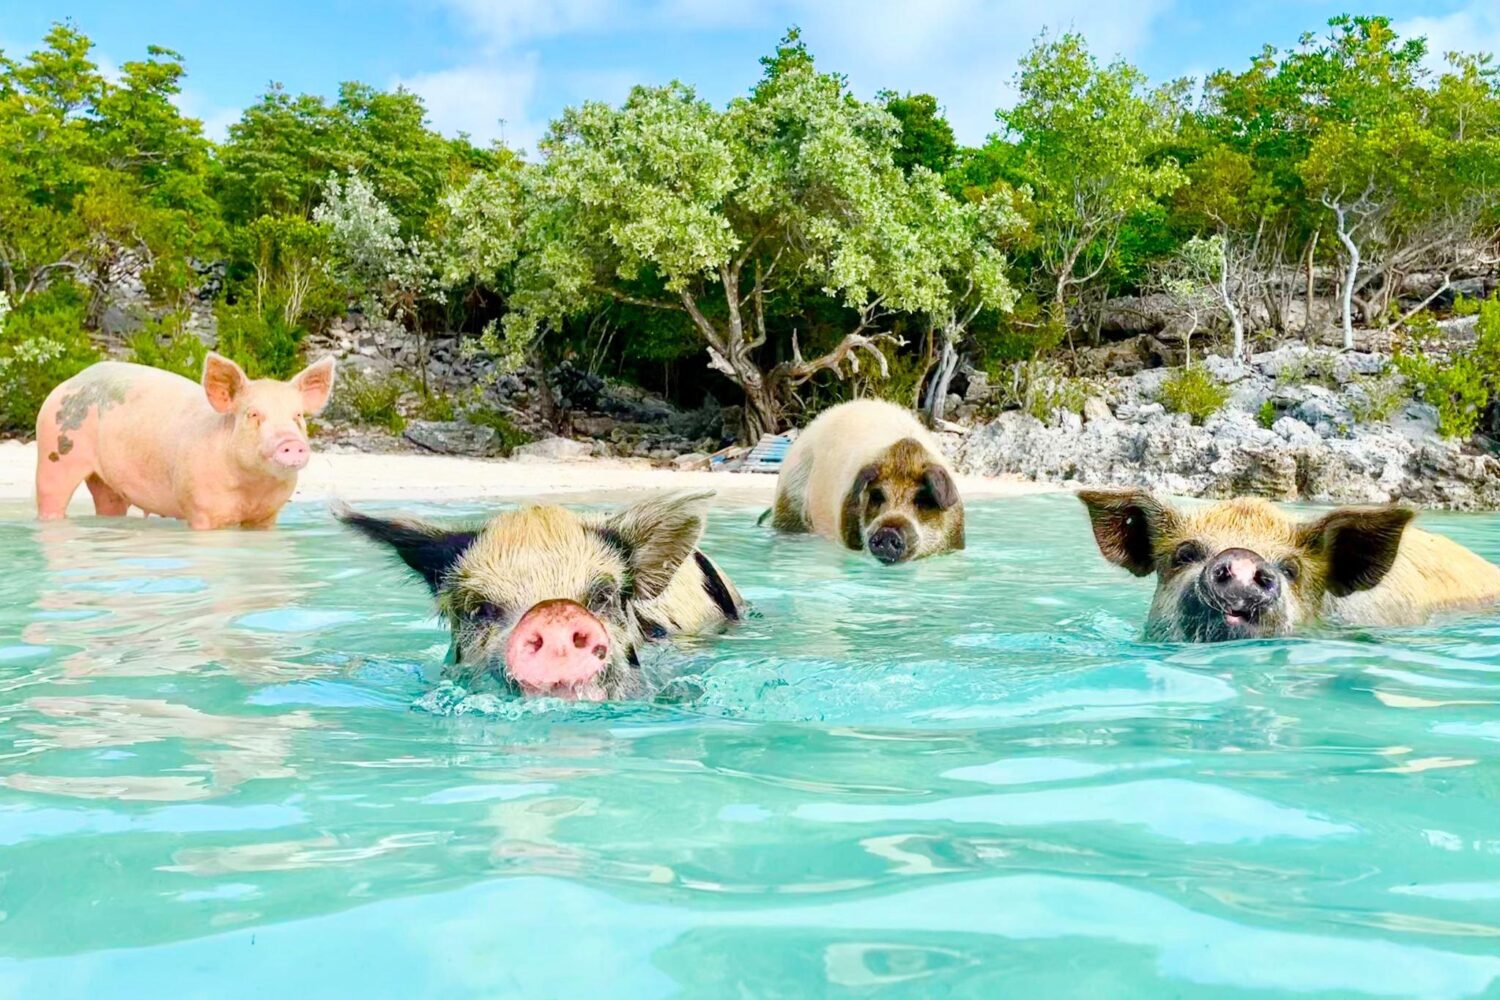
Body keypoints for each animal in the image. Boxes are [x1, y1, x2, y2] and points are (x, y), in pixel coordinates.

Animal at [34, 353, 335, 530]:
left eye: (297, 416)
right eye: (253, 414)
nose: (290, 441)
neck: (251, 487)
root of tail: (71, 380)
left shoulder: (268, 515)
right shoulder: (201, 506)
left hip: (106, 481)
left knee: (108, 503)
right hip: (54, 450)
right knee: (51, 495)